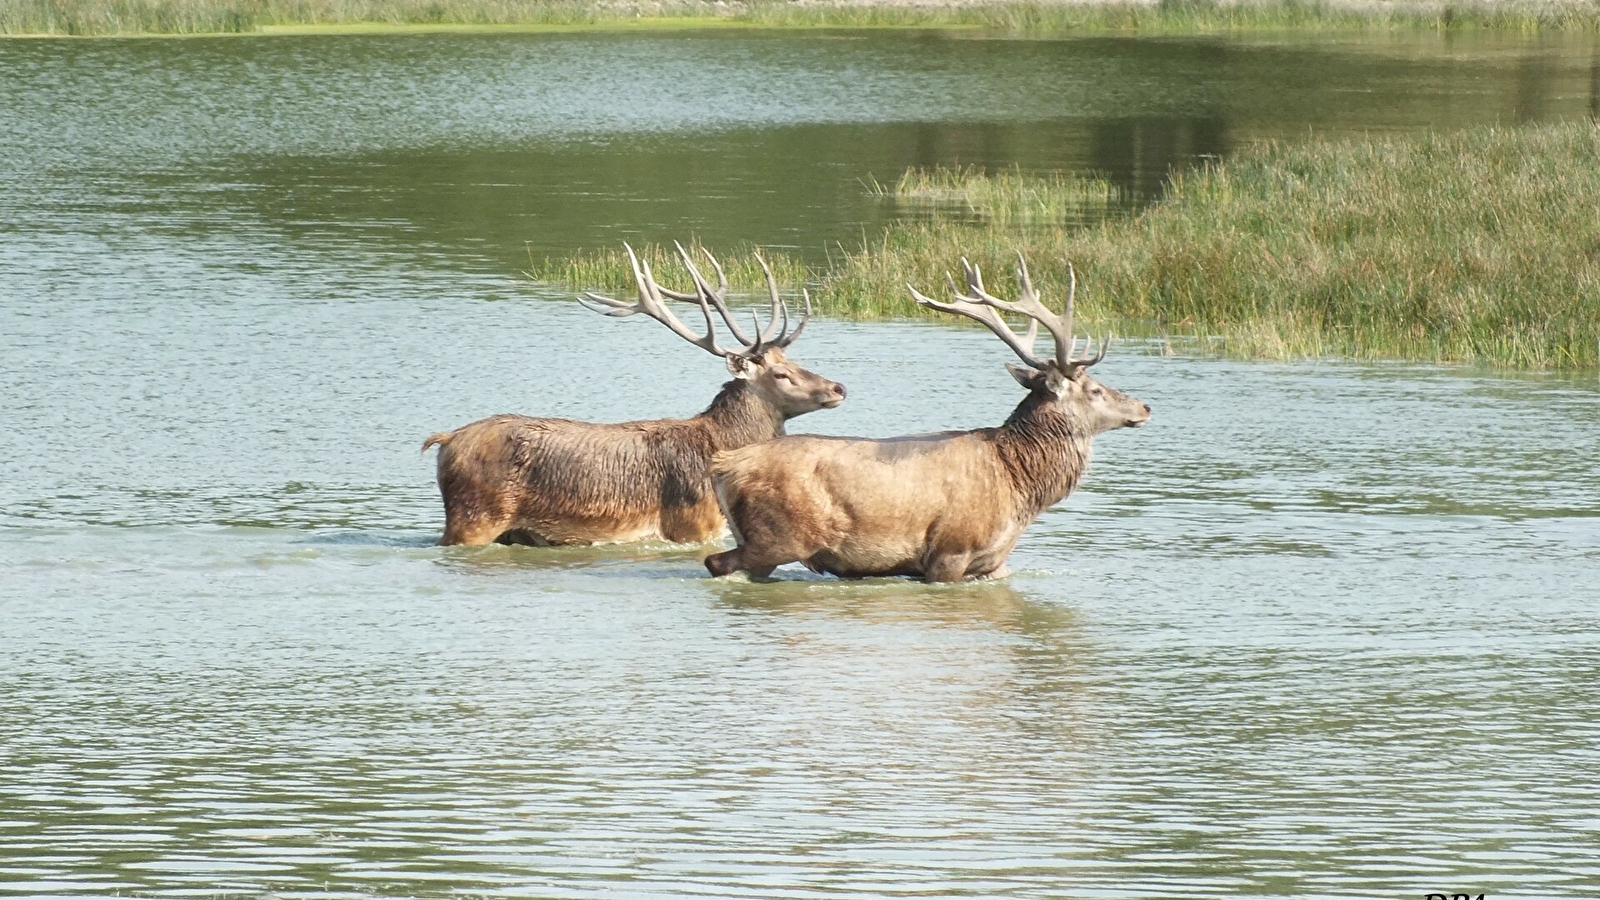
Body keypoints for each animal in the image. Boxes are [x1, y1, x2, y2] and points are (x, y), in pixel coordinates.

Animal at [425, 241, 851, 544]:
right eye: (781, 373)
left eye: (793, 360)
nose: (838, 387)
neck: (720, 445)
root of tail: (445, 440)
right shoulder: (692, 525)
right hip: (474, 516)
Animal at [710, 249, 1152, 582]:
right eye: (1095, 389)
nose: (1144, 407)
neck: (1021, 486)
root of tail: (723, 466)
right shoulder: (950, 551)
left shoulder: (993, 563)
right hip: (779, 536)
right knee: (717, 562)